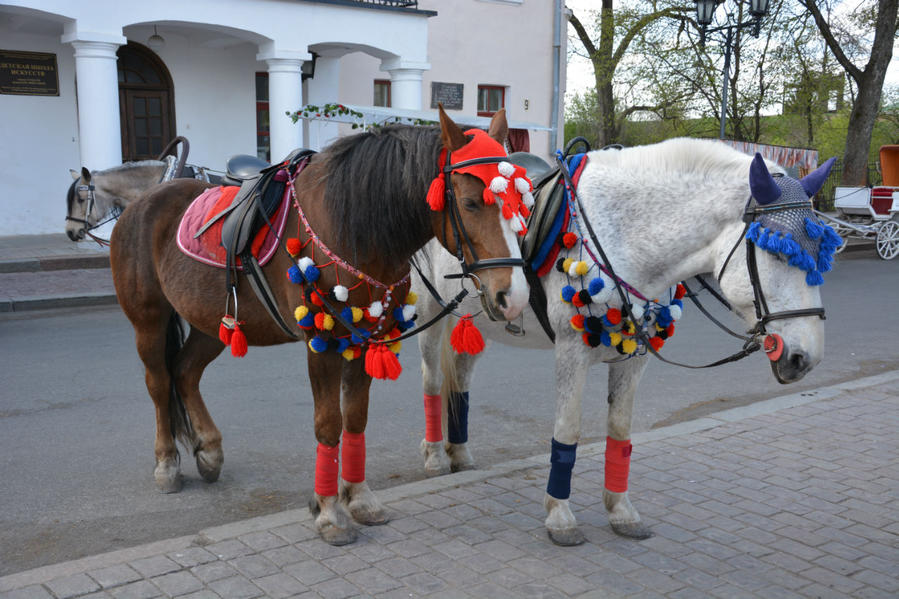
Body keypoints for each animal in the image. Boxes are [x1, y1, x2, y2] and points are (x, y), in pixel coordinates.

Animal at [111, 106, 532, 544]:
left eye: (522, 201)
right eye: (470, 202)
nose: (514, 296)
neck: (353, 227)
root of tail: (143, 200)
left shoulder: (365, 342)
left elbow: (356, 419)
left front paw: (358, 497)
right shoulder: (323, 343)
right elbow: (329, 424)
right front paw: (330, 511)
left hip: (214, 323)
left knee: (186, 372)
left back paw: (208, 450)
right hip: (149, 320)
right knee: (160, 382)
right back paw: (167, 462)